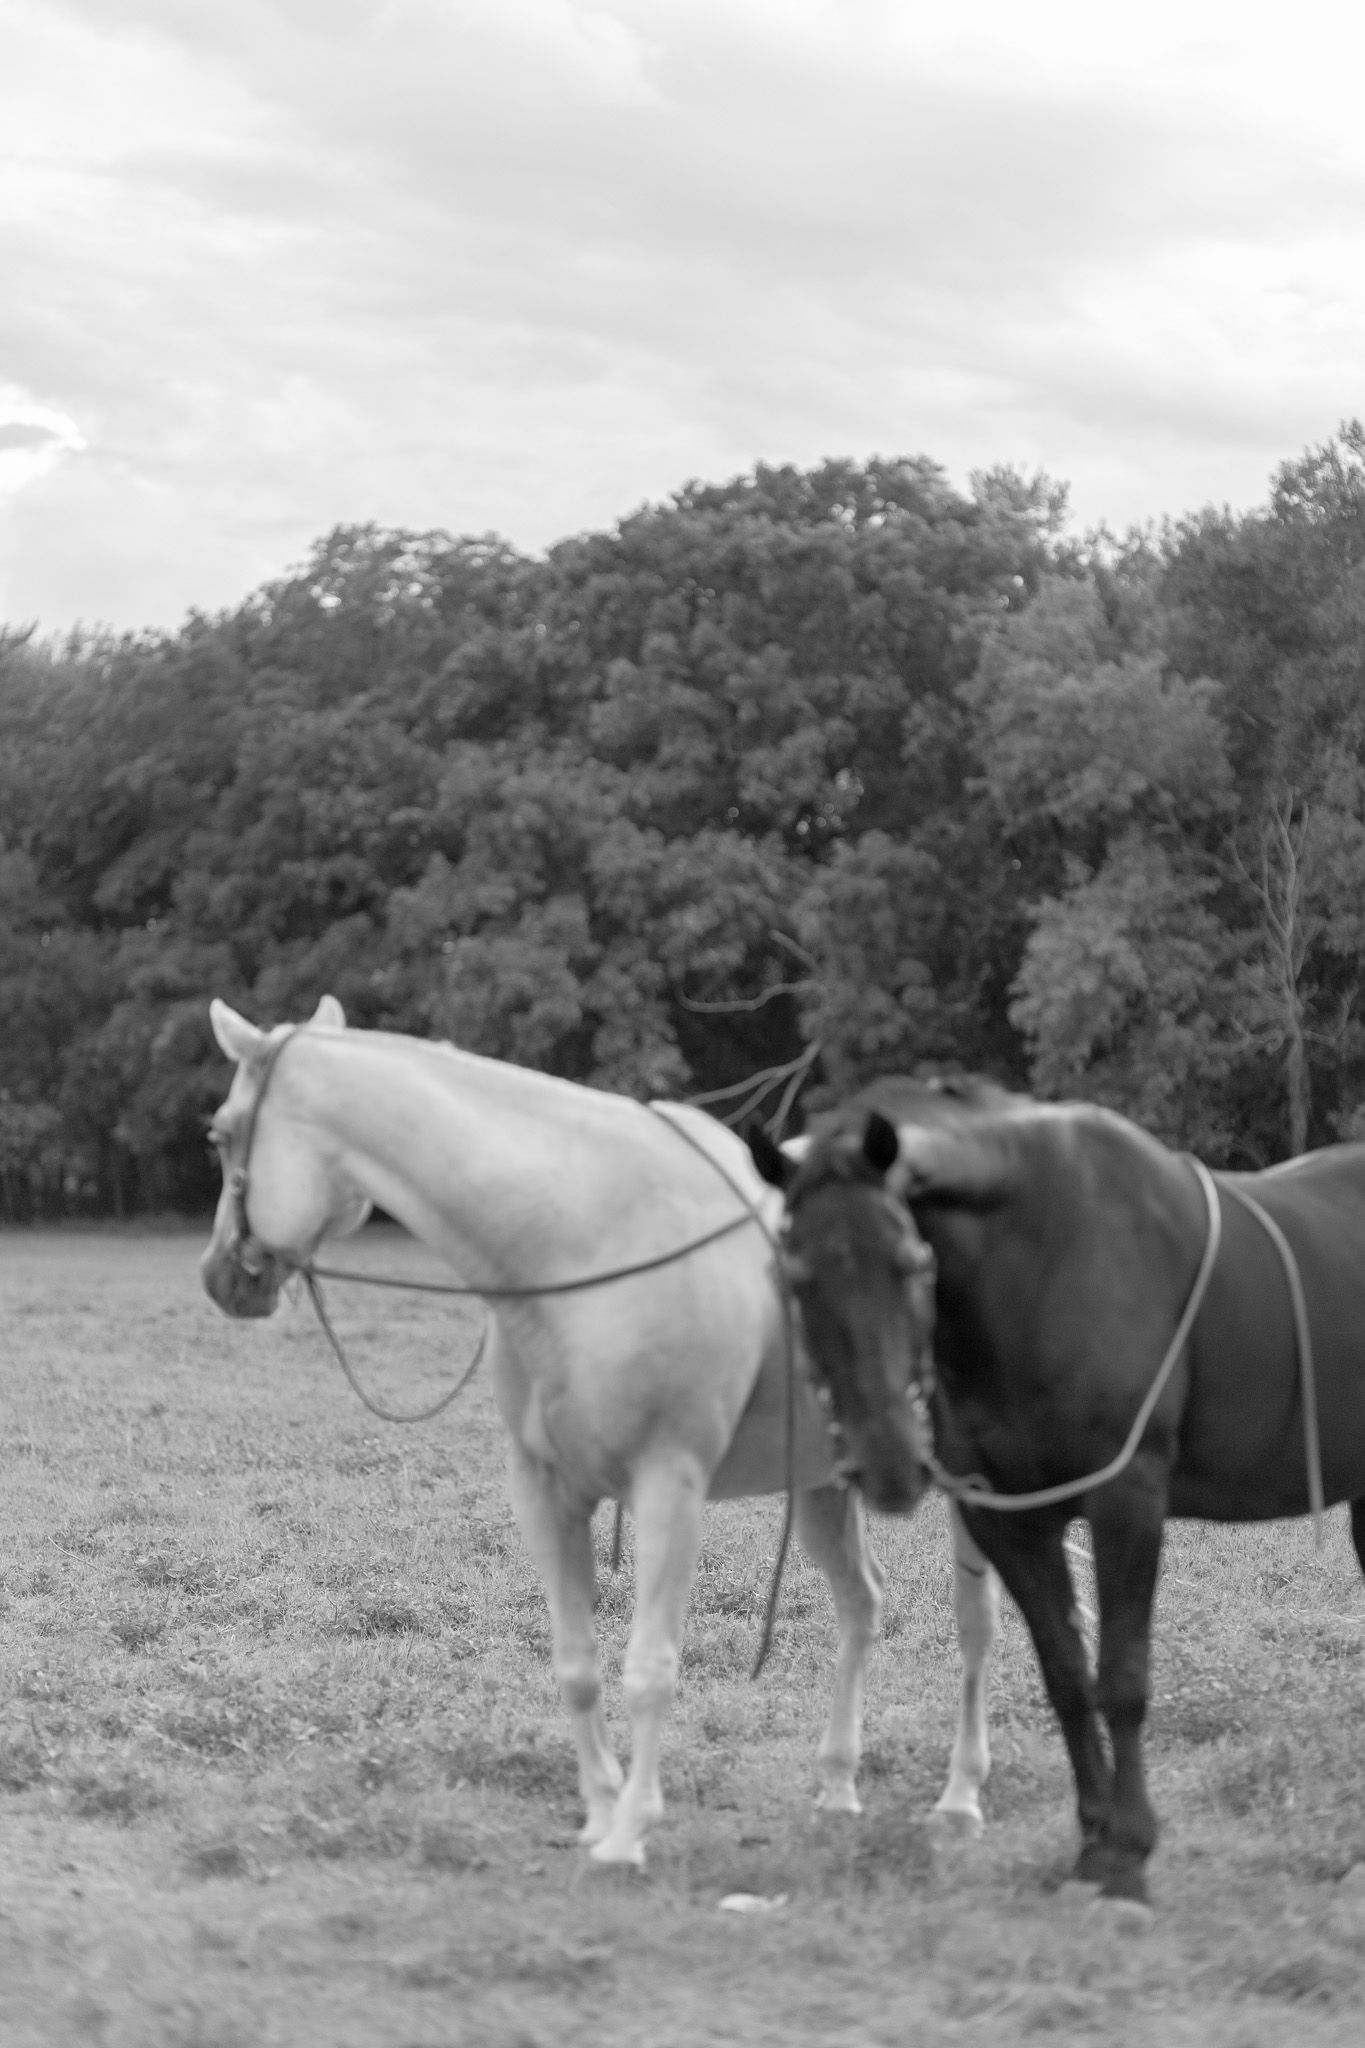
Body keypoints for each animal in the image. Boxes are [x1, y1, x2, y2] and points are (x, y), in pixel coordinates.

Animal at [199, 998, 998, 1867]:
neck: (582, 1238)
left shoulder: (668, 1488)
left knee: (974, 1627)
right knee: (860, 1607)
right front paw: (597, 1812)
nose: (219, 1275)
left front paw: (630, 1832)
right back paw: (837, 1785)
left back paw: (959, 1796)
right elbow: (576, 1665)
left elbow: (649, 1667)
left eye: (220, 1132)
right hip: (824, 1484)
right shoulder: (546, 1492)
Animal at [750, 1075, 1365, 1905]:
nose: (888, 1464)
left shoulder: (1126, 1501)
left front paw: (1128, 1854)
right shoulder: (1006, 1519)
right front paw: (1093, 1840)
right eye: (798, 1277)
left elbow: (1122, 1679)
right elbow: (1066, 1678)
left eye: (910, 1260)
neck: (1043, 1264)